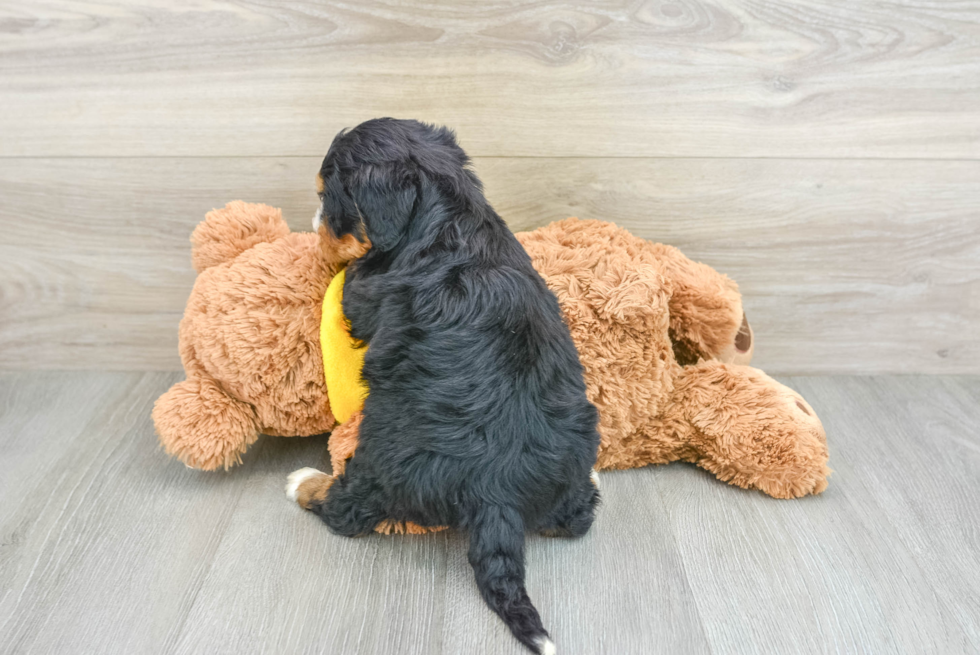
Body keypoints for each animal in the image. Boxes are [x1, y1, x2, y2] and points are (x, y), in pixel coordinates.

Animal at [290, 119, 600, 655]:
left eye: (328, 196)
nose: (313, 225)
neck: (450, 219)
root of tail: (497, 492)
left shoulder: (364, 290)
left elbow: (351, 282)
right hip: (578, 440)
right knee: (576, 517)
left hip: (383, 455)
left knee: (349, 510)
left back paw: (307, 484)